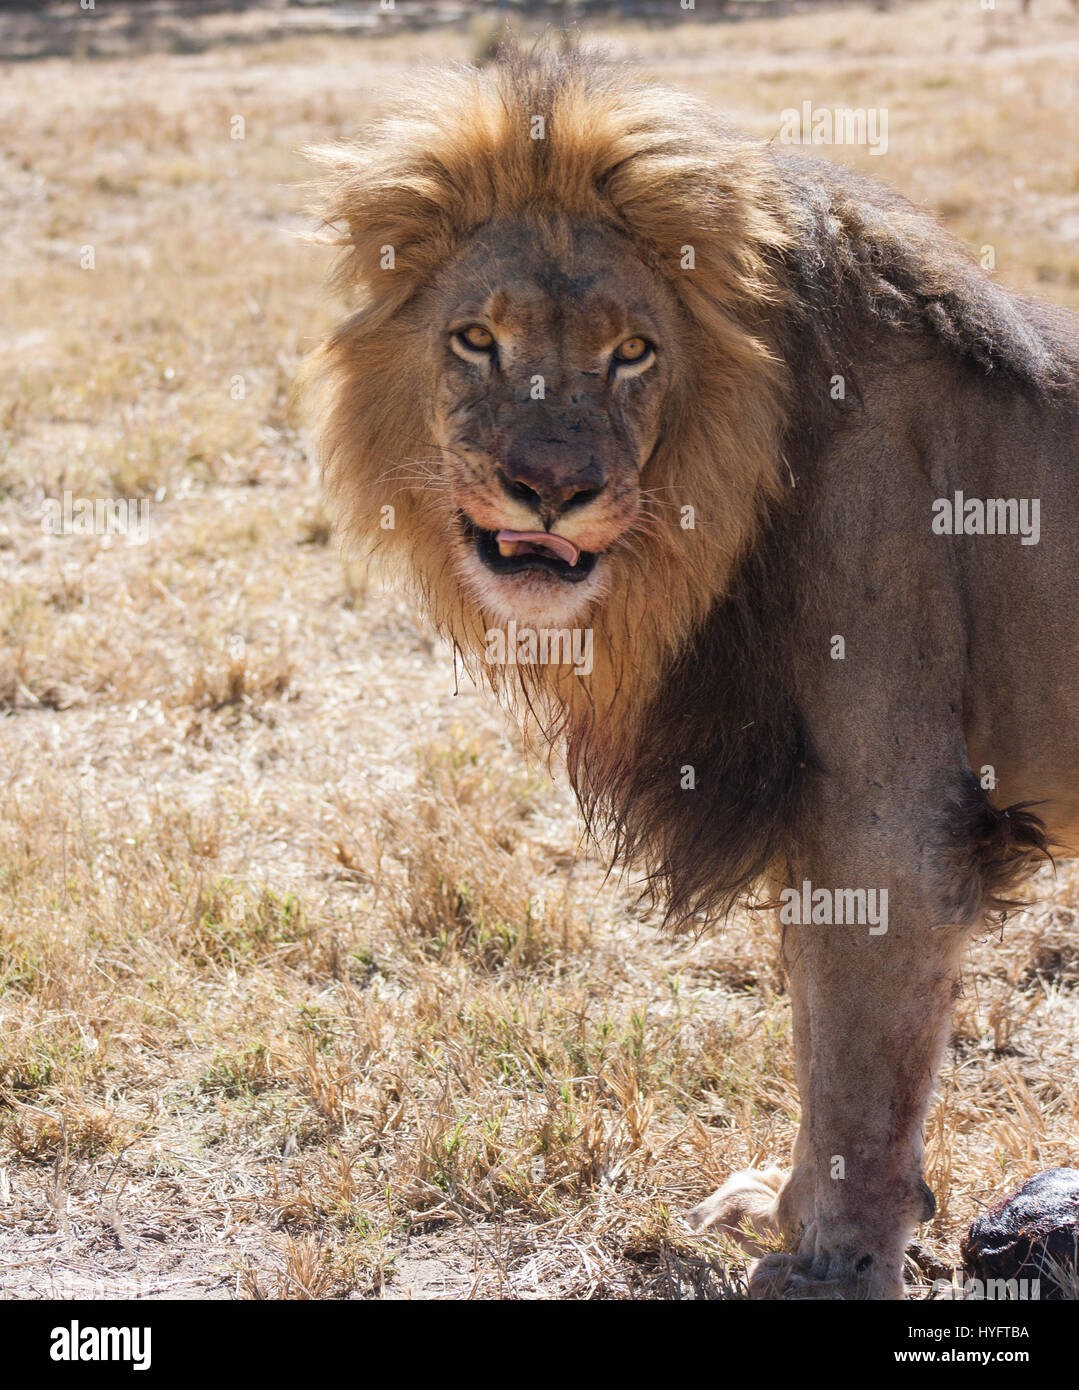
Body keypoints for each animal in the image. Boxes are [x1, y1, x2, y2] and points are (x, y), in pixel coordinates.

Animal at [308, 47, 1079, 1298]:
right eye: (476, 340)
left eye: (632, 353)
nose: (550, 490)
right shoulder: (818, 809)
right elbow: (817, 1034)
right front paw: (786, 1210)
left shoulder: (886, 810)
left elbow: (862, 1064)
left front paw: (834, 1266)